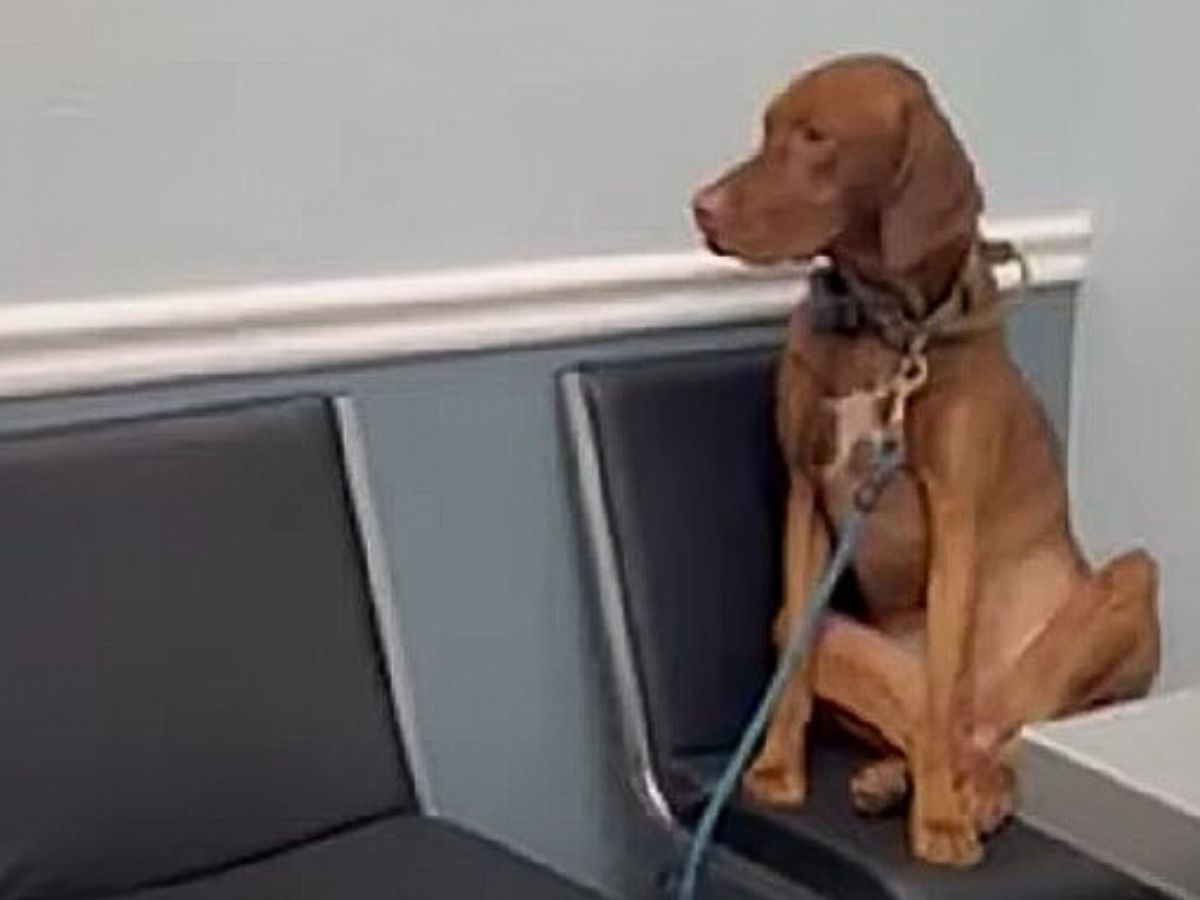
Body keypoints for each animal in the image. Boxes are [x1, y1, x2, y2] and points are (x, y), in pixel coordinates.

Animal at [691, 54, 1156, 868]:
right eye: (768, 128)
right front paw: (777, 769)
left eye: (816, 137)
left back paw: (971, 794)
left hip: (1125, 587)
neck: (885, 328)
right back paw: (898, 779)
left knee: (997, 729)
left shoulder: (955, 515)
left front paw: (938, 822)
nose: (702, 209)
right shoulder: (805, 498)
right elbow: (798, 673)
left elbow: (942, 687)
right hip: (836, 637)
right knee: (935, 722)